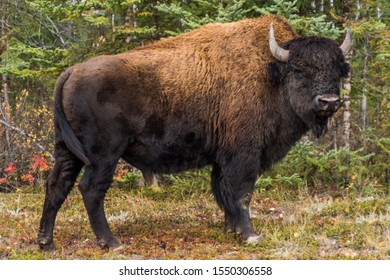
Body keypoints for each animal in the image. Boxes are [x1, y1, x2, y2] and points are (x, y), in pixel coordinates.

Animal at [38, 15, 352, 252]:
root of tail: (71, 72)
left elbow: (224, 192)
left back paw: (46, 244)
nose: (329, 102)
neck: (271, 73)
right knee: (91, 190)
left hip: (66, 149)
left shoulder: (222, 158)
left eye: (338, 70)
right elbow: (242, 193)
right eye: (298, 70)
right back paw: (111, 242)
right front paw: (249, 234)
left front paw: (231, 228)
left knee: (57, 185)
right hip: (104, 155)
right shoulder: (244, 154)